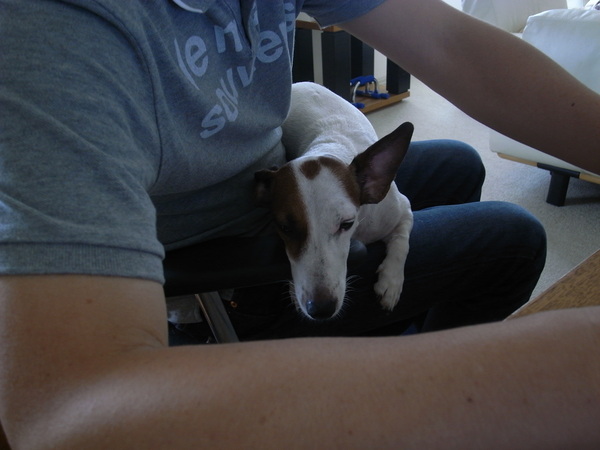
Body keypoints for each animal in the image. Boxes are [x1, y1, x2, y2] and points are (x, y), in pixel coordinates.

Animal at [254, 82, 413, 320]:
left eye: (346, 224)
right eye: (285, 228)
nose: (321, 309)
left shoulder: (401, 210)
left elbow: (402, 241)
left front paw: (391, 281)